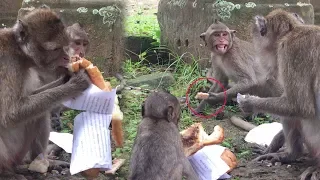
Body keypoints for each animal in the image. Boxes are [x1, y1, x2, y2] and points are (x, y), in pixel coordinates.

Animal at [0, 5, 90, 179]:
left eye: (65, 45)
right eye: (55, 49)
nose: (66, 57)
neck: (20, 53)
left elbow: (31, 99)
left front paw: (68, 77)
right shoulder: (8, 64)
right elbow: (11, 113)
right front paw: (74, 85)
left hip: (19, 152)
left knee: (39, 113)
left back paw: (40, 161)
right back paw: (7, 173)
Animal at [238, 8, 320, 180]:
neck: (294, 30)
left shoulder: (290, 52)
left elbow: (301, 107)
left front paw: (249, 103)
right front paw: (274, 143)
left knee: (293, 113)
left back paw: (293, 155)